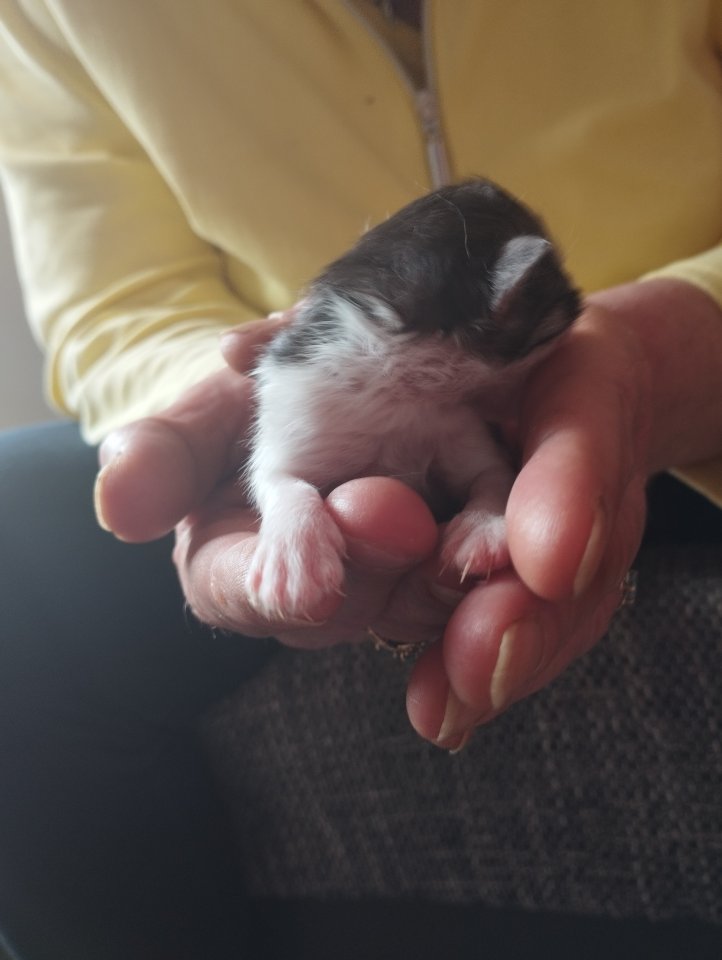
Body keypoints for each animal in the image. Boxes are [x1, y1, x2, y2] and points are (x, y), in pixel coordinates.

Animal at [245, 178, 580, 620]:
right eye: (556, 315)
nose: (581, 301)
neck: (402, 389)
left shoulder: (465, 436)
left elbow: (494, 477)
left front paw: (481, 529)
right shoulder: (296, 414)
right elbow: (280, 481)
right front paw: (293, 559)